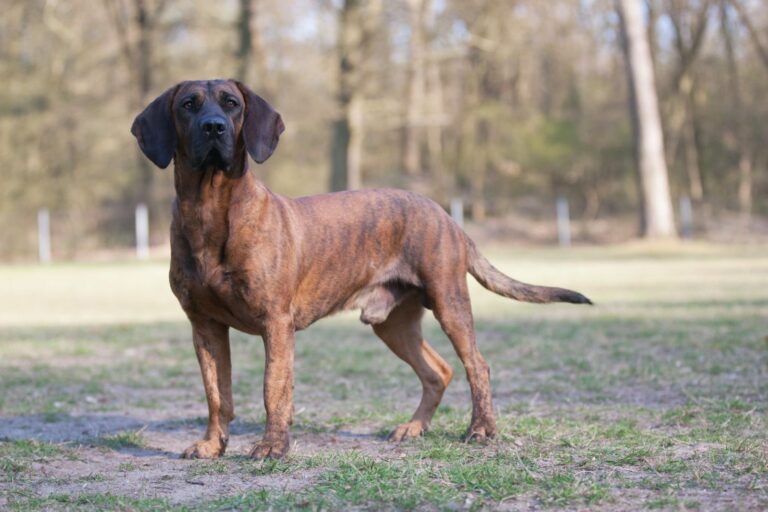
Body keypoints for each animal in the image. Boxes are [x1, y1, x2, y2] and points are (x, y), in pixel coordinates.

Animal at [129, 79, 592, 460]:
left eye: (232, 104)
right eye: (188, 104)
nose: (213, 128)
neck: (210, 211)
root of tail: (447, 216)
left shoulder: (275, 323)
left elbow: (273, 389)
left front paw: (273, 446)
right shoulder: (205, 326)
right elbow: (216, 394)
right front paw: (212, 445)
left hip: (449, 301)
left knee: (477, 364)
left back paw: (480, 430)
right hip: (393, 323)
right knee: (437, 372)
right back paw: (414, 428)